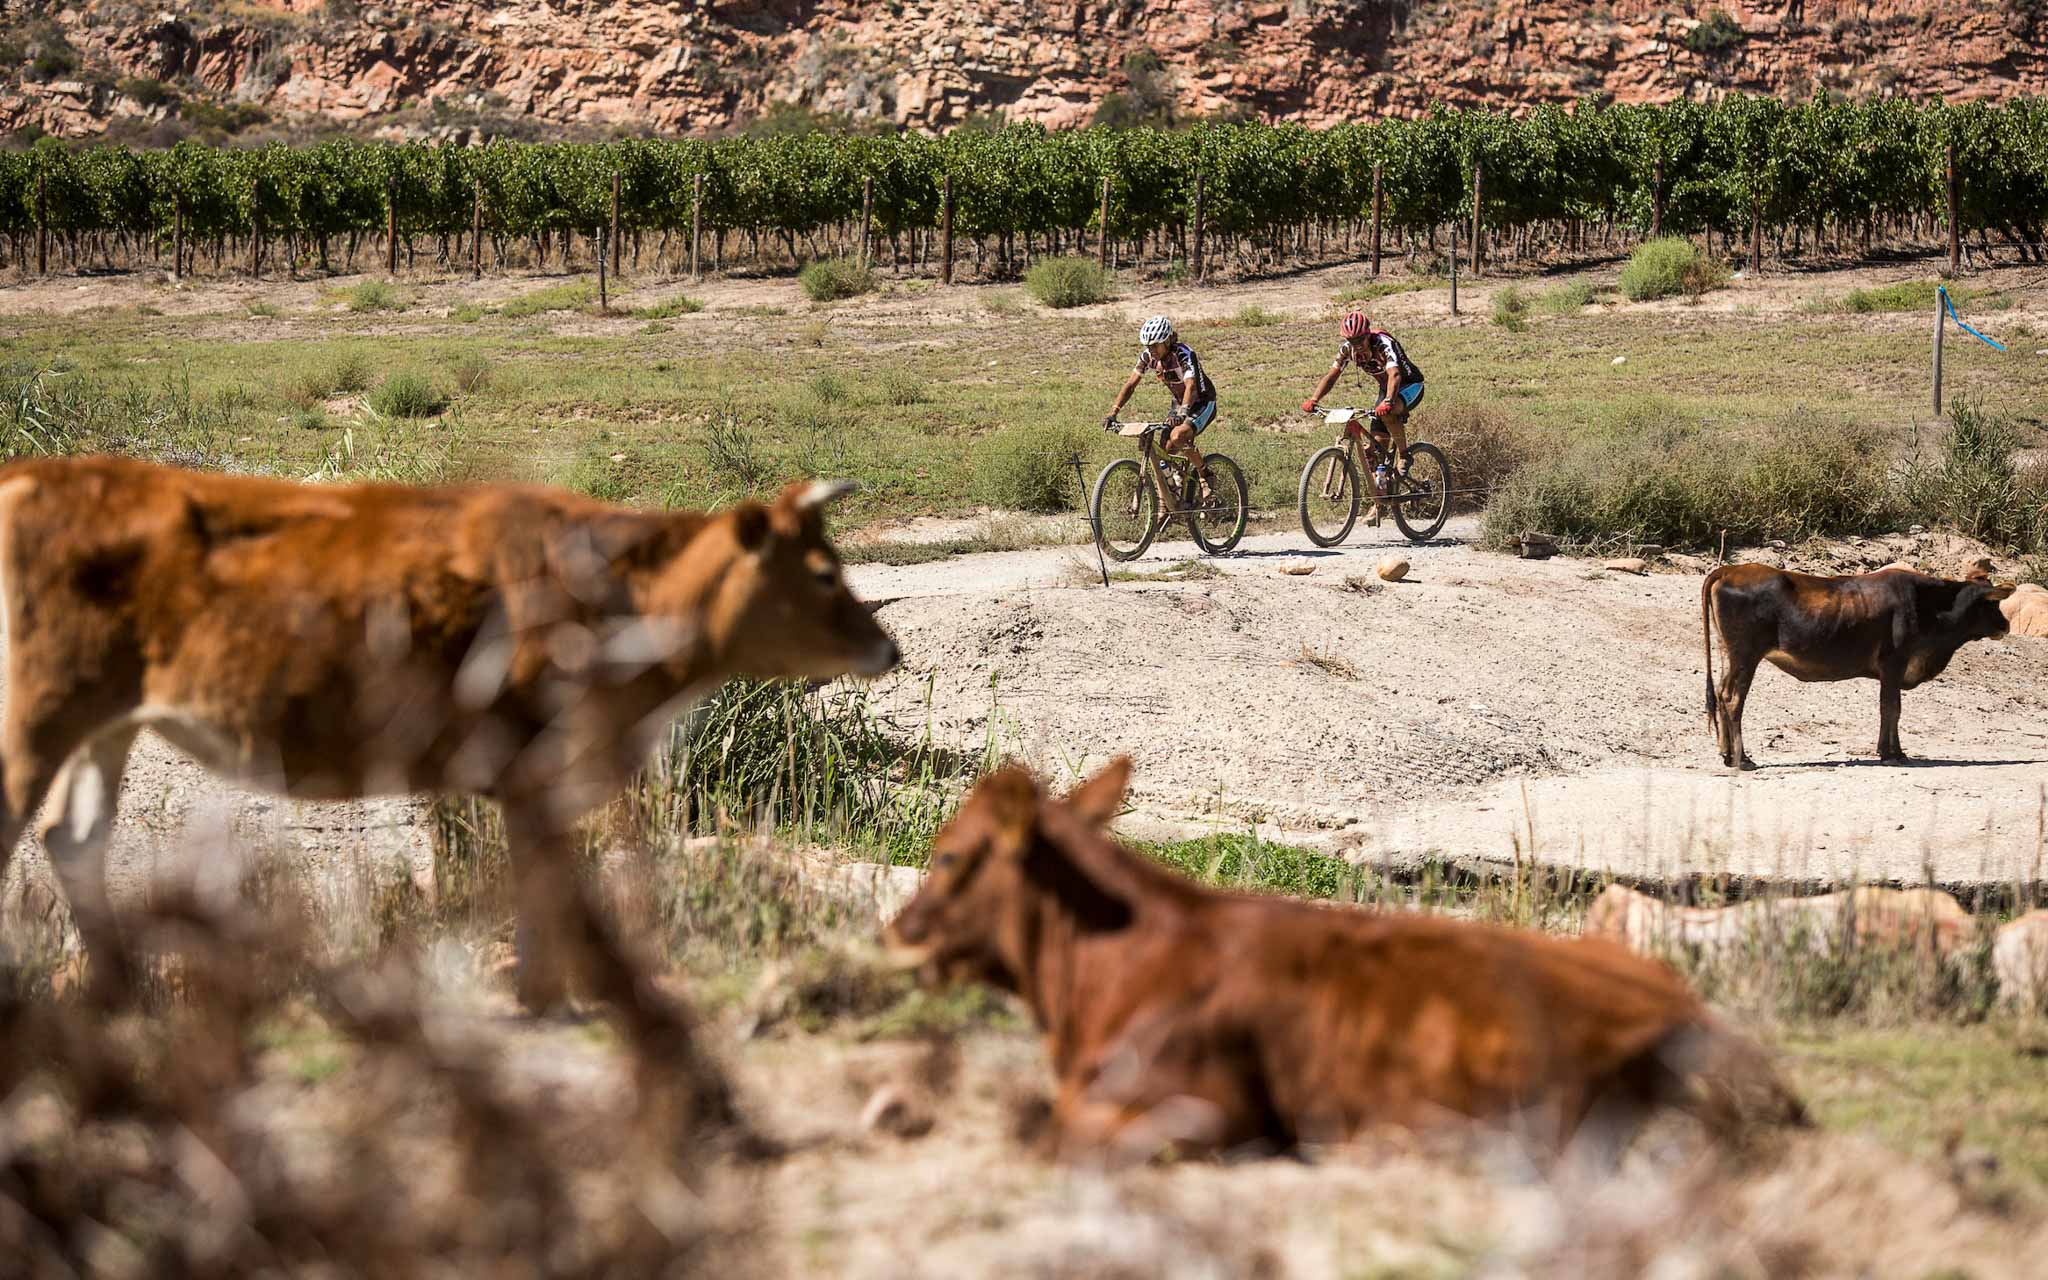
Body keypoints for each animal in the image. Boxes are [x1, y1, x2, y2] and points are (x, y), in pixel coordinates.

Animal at [2, 454, 897, 1003]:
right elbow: (548, 892)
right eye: (824, 573)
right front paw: (546, 996)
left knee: (73, 839)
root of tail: (36, 474)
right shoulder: (531, 767)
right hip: (38, 712)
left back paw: (125, 995)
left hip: (107, 723)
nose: (887, 646)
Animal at [1695, 561, 2015, 770]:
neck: (1928, 608)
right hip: (1746, 655)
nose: (2006, 625)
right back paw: (1743, 759)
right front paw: (1891, 753)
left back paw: (1727, 755)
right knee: (1733, 699)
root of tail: (1729, 570)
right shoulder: (1893, 664)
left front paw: (1892, 751)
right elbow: (1891, 708)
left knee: (1721, 695)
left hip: (1730, 655)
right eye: (1991, 604)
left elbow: (1891, 709)